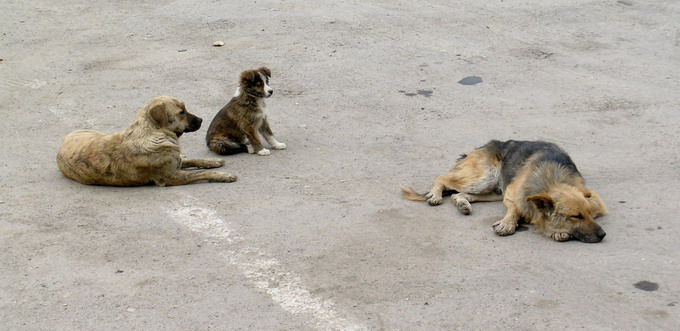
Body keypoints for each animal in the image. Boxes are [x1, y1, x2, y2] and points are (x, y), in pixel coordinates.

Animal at [55, 96, 238, 187]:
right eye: (181, 112)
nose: (201, 120)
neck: (153, 131)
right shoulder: (170, 176)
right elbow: (200, 173)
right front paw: (224, 176)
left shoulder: (175, 161)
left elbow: (194, 160)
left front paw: (212, 161)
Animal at [402, 140, 608, 244]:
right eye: (576, 216)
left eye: (590, 215)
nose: (602, 235)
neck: (551, 181)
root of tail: (488, 144)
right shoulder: (511, 194)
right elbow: (515, 208)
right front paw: (509, 223)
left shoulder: (596, 200)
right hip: (485, 178)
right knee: (443, 178)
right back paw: (435, 195)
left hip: (494, 190)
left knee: (456, 194)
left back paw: (462, 204)